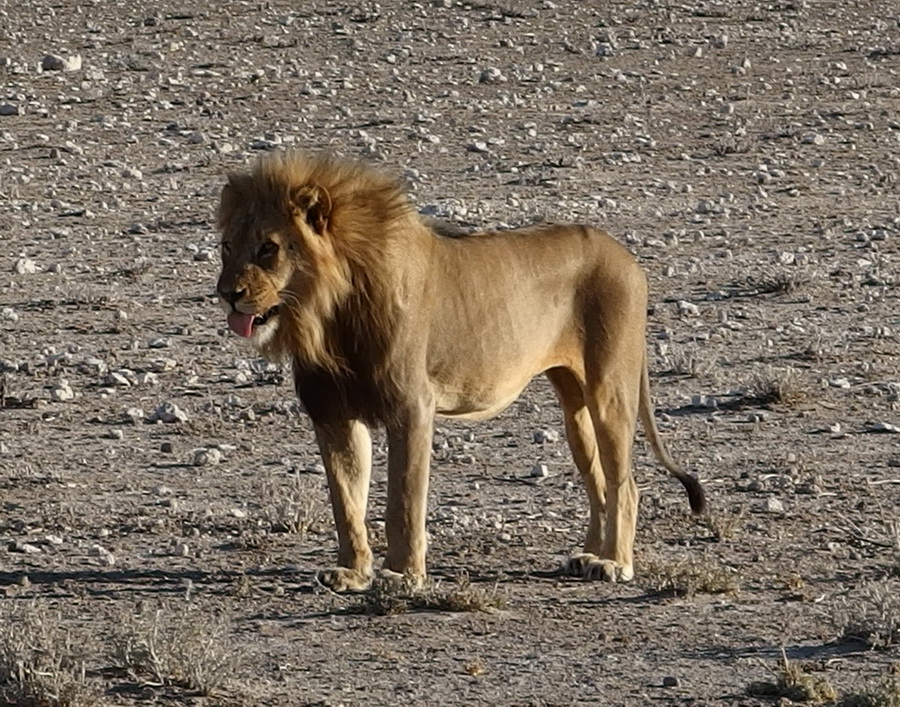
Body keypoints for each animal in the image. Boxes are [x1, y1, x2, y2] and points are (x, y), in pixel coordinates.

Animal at [216, 151, 705, 592]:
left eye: (268, 248)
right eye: (226, 247)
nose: (226, 294)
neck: (326, 316)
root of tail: (626, 255)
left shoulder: (412, 406)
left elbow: (403, 501)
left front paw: (403, 576)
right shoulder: (332, 413)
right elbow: (346, 501)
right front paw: (352, 573)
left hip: (609, 391)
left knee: (626, 485)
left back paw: (615, 564)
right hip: (574, 406)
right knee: (599, 482)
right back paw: (587, 557)